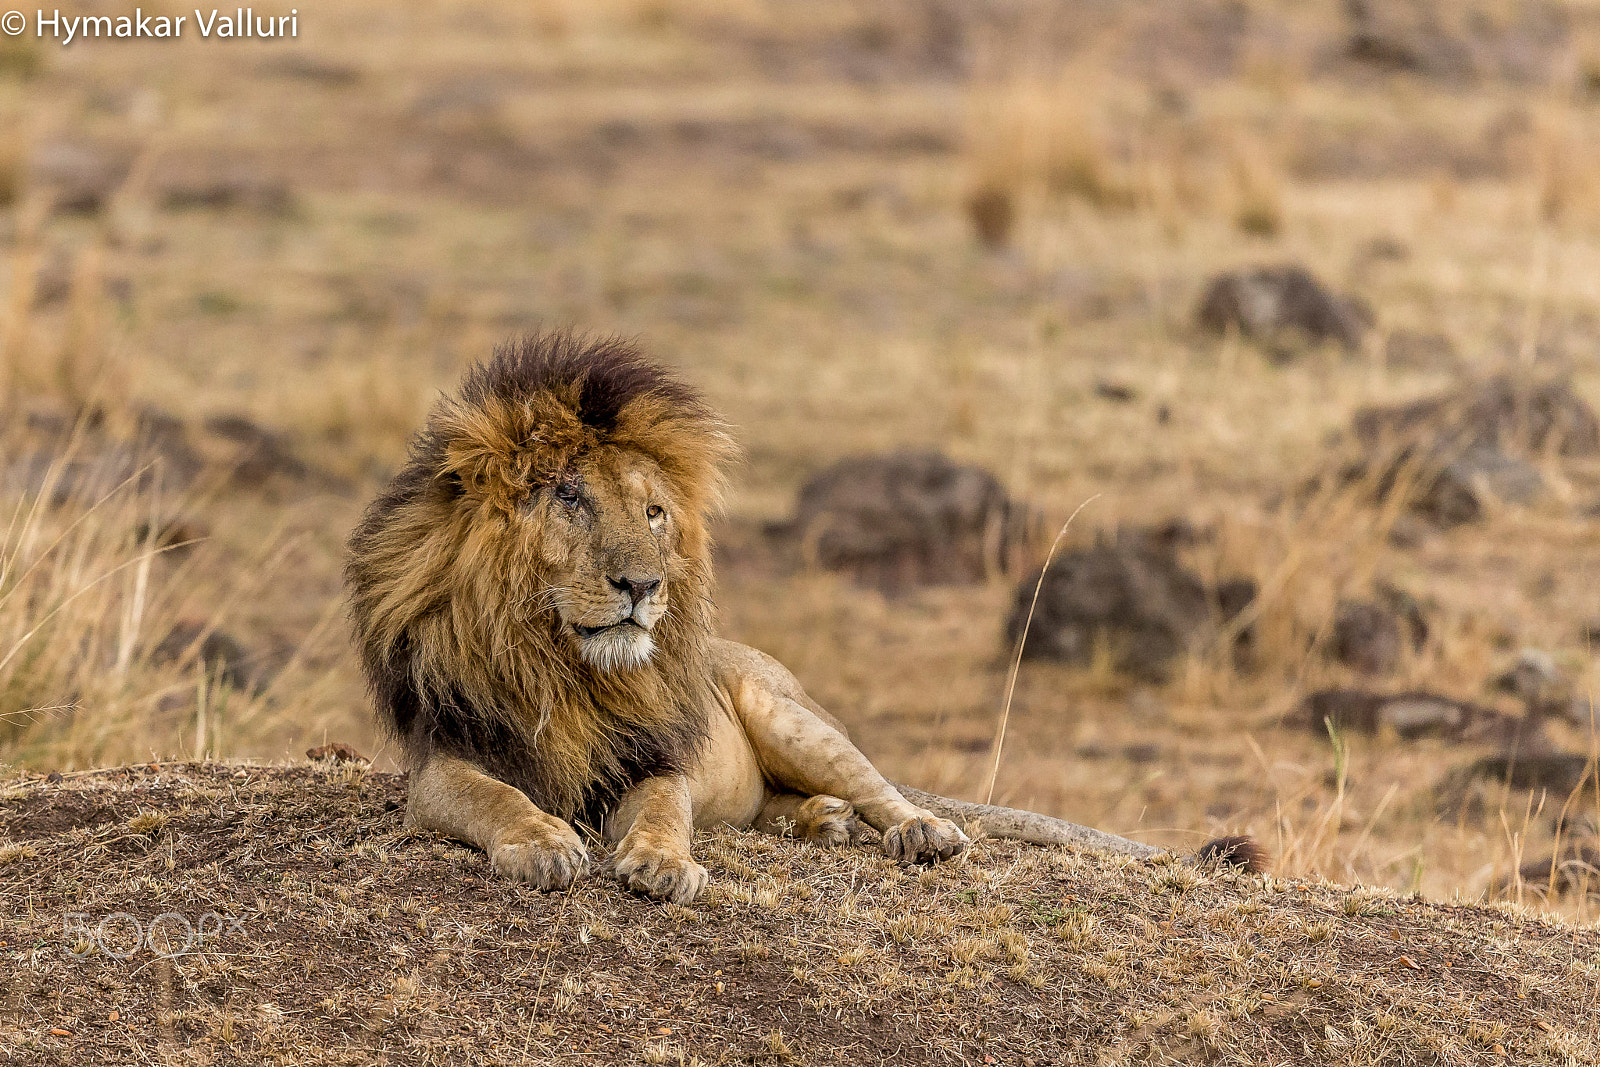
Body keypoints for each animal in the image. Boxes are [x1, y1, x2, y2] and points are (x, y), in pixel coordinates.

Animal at [347, 331, 1260, 902]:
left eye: (653, 512)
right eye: (571, 498)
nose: (645, 585)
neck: (563, 667)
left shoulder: (654, 756)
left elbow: (665, 811)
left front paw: (662, 864)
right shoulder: (445, 757)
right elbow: (493, 798)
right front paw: (540, 840)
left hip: (788, 714)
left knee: (885, 788)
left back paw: (914, 830)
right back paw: (819, 821)